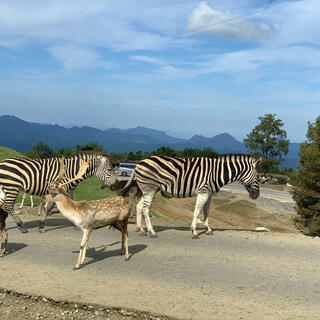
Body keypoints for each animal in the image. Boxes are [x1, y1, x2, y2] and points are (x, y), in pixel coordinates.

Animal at [120, 154, 262, 239]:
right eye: (258, 177)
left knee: (139, 206)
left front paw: (208, 229)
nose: (257, 196)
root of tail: (138, 163)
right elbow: (197, 211)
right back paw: (152, 232)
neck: (217, 173)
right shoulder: (203, 191)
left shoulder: (209, 193)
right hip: (149, 188)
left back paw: (141, 229)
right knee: (146, 208)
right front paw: (194, 231)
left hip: (149, 189)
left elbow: (206, 211)